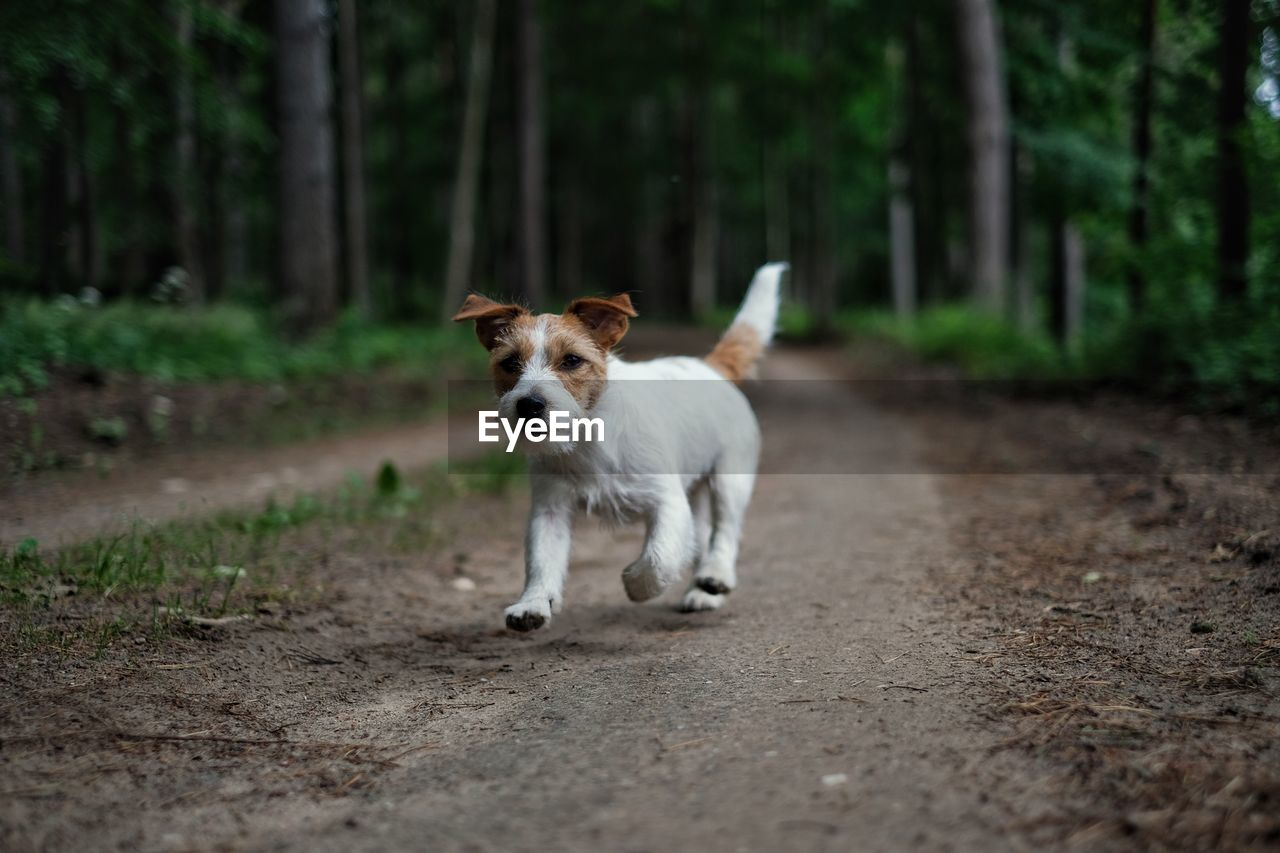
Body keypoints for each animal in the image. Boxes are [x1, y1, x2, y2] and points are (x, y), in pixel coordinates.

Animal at [455, 262, 783, 627]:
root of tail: (710, 367)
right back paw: (702, 592)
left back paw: (715, 577)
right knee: (701, 536)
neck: (588, 437)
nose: (529, 404)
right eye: (510, 362)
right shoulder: (550, 509)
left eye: (571, 360)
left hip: (730, 479)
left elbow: (657, 558)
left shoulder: (667, 502)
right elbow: (542, 559)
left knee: (725, 530)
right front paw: (534, 603)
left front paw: (638, 585)